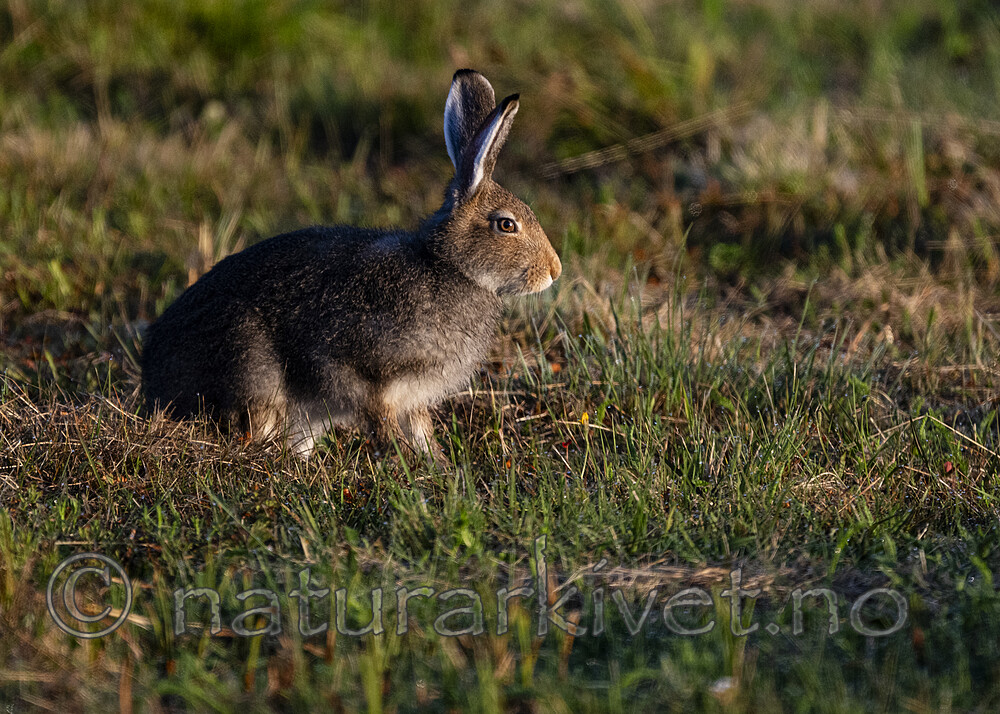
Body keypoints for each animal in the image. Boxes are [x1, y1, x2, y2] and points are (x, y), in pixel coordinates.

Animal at [141, 69, 562, 460]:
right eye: (506, 225)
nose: (554, 270)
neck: (449, 266)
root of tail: (153, 378)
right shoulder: (365, 374)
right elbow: (380, 420)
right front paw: (405, 464)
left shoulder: (414, 398)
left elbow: (421, 429)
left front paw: (437, 464)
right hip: (251, 368)